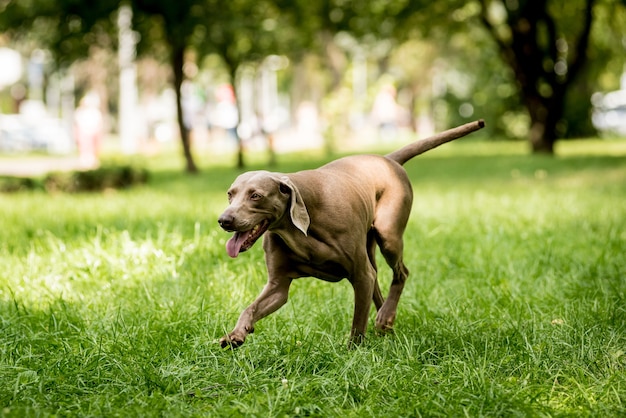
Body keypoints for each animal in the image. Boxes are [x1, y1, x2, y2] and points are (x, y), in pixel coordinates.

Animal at [217, 120, 486, 346]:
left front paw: (353, 354)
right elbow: (250, 308)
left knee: (401, 273)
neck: (300, 225)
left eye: (256, 195)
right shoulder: (278, 285)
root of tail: (388, 159)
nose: (224, 220)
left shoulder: (360, 273)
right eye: (230, 194)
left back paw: (386, 316)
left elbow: (357, 325)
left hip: (388, 235)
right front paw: (237, 334)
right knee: (378, 286)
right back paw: (386, 321)